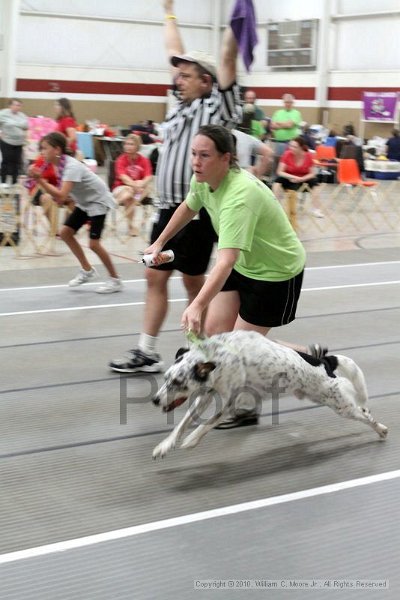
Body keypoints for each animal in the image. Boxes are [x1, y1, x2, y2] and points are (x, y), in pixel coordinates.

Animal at [152, 332, 386, 460]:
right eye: (166, 378)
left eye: (177, 383)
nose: (155, 400)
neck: (216, 357)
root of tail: (324, 361)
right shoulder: (207, 395)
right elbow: (182, 424)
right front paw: (164, 445)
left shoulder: (227, 404)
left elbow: (203, 425)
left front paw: (191, 440)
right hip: (327, 400)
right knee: (363, 409)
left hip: (340, 405)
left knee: (366, 415)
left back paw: (382, 430)